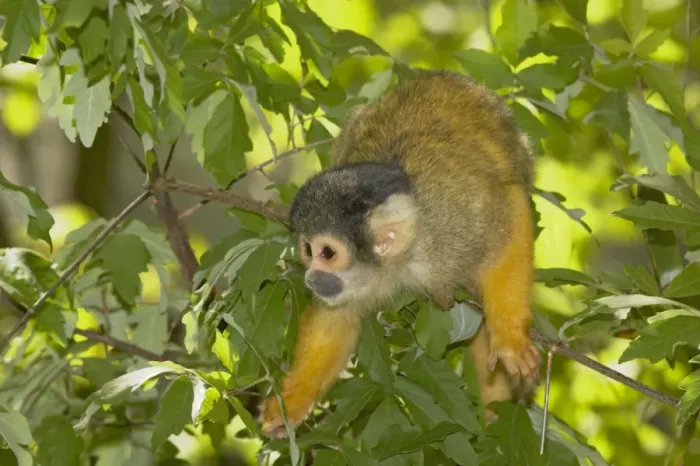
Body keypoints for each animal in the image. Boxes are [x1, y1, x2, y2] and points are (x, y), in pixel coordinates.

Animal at [260, 70, 541, 438]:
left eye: (328, 253)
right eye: (308, 251)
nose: (311, 276)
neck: (401, 260)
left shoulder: (452, 228)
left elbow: (509, 212)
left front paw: (509, 338)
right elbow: (335, 317)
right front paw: (291, 402)